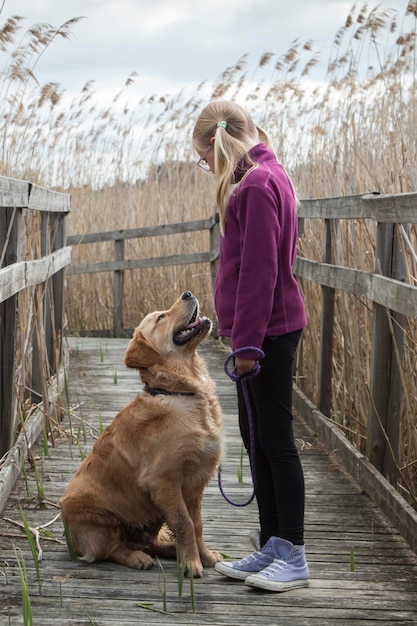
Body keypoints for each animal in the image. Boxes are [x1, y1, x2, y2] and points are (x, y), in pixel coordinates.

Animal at [60, 292, 223, 576]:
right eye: (161, 317)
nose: (188, 293)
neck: (181, 392)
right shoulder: (163, 481)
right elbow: (185, 523)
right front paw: (190, 564)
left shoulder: (195, 482)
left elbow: (197, 524)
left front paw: (203, 555)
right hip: (100, 517)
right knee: (111, 550)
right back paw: (137, 557)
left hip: (152, 511)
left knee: (150, 541)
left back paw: (168, 549)